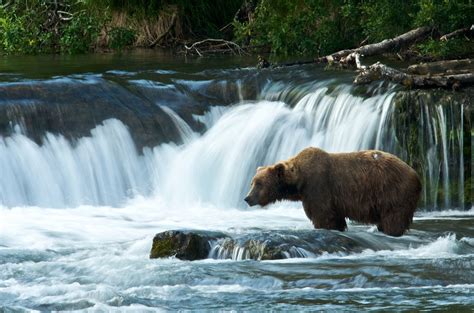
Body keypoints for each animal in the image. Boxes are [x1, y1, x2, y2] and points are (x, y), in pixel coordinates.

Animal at [246, 147, 420, 235]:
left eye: (259, 183)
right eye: (252, 182)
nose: (247, 198)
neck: (299, 182)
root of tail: (415, 173)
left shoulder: (318, 187)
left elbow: (323, 216)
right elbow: (335, 218)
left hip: (392, 192)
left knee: (394, 219)